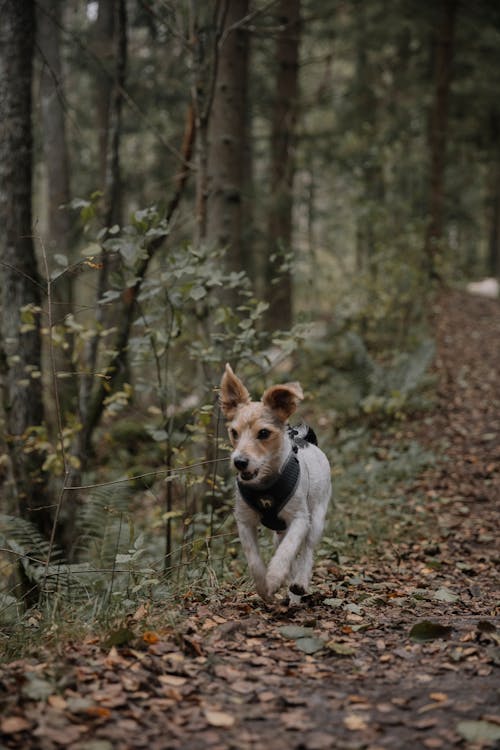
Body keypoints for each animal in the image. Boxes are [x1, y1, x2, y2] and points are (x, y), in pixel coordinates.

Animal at [220, 364, 332, 604]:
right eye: (234, 432)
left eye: (264, 433)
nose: (239, 462)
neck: (265, 486)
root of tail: (306, 440)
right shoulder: (244, 521)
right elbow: (254, 559)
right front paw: (265, 586)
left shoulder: (300, 519)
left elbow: (288, 551)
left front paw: (275, 576)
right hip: (279, 531)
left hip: (317, 516)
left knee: (307, 550)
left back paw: (299, 582)